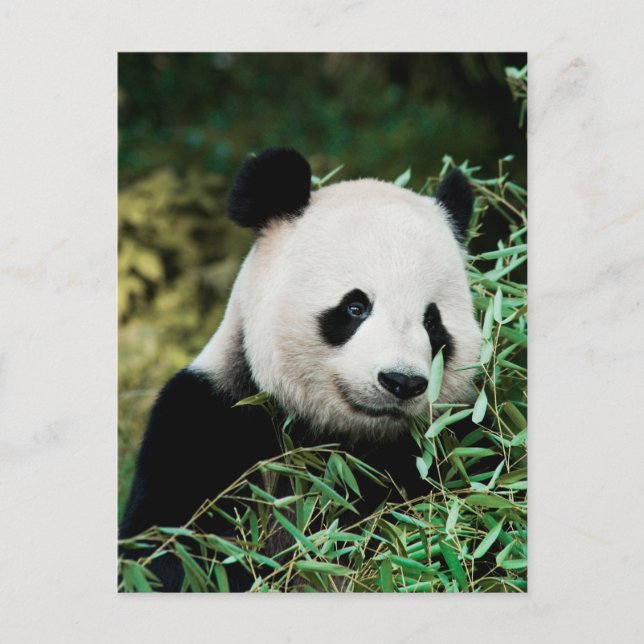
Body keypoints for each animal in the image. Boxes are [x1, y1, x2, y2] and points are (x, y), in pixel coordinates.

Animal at [119, 148, 482, 592]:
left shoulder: (451, 445)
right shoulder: (207, 423)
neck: (339, 441)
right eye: (355, 307)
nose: (401, 382)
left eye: (432, 322)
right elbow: (172, 554)